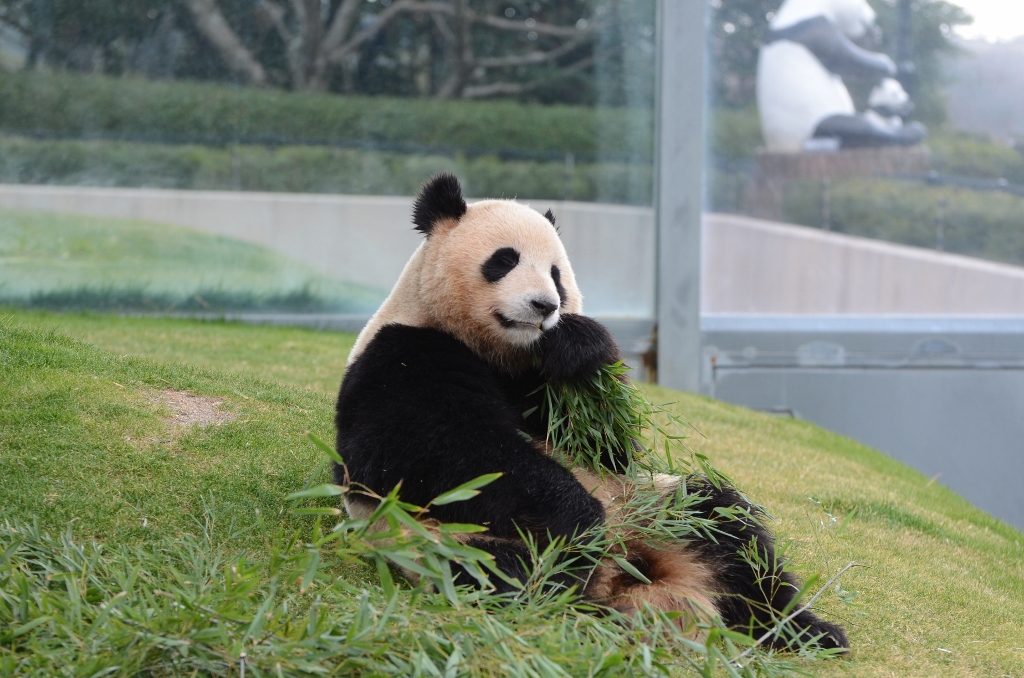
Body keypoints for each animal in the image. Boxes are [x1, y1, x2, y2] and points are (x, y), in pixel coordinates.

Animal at [335, 175, 847, 655]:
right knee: (506, 574)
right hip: (443, 539)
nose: (545, 306)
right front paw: (577, 514)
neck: (499, 352)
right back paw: (586, 609)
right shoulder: (402, 355)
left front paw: (579, 345)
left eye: (557, 274)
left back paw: (804, 631)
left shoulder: (537, 383)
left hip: (652, 507)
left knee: (726, 530)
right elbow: (434, 448)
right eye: (505, 260)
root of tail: (622, 576)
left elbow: (608, 445)